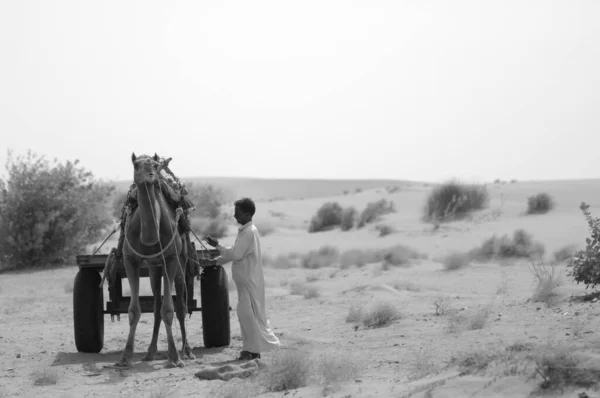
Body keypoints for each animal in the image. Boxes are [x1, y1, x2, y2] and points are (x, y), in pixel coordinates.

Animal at [113, 153, 193, 370]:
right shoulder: (130, 260)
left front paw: (174, 357)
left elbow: (169, 310)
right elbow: (134, 311)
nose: (150, 175)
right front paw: (125, 357)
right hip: (153, 267)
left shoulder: (171, 259)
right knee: (156, 303)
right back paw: (150, 352)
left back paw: (187, 351)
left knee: (181, 304)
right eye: (136, 165)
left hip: (181, 261)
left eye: (155, 165)